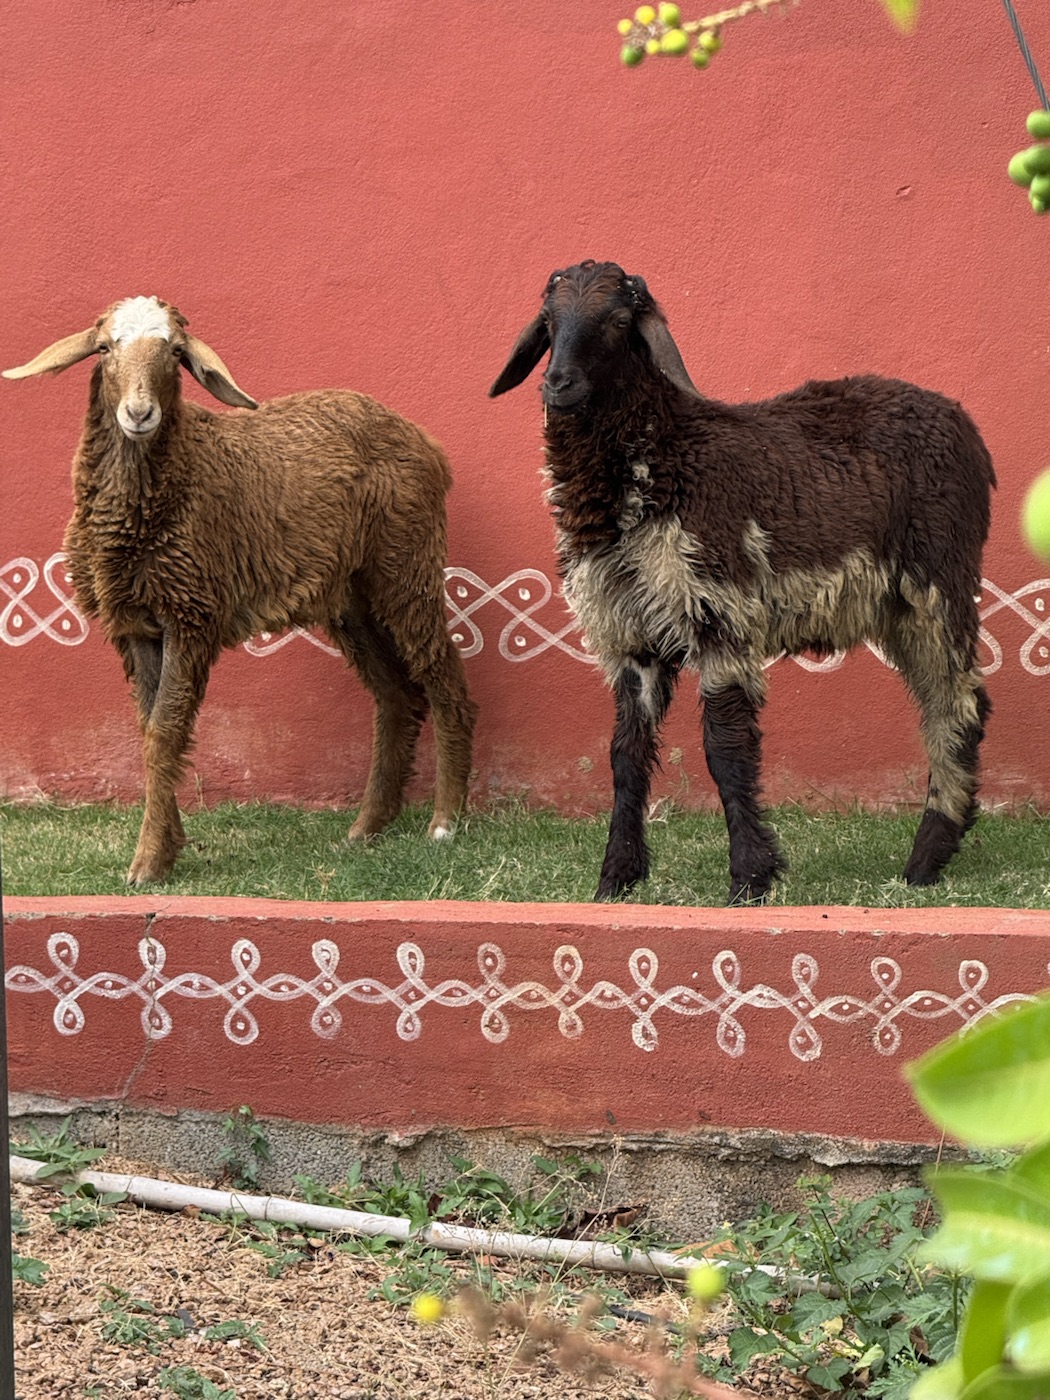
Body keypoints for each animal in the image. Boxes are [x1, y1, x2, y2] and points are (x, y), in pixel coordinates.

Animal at [4, 296, 477, 885]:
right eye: (105, 348)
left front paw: (148, 861)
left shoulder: (191, 613)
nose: (139, 414)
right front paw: (169, 843)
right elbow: (150, 731)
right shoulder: (135, 624)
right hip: (351, 596)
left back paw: (445, 820)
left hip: (406, 563)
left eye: (175, 353)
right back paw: (368, 826)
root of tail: (428, 444)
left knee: (444, 679)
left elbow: (165, 732)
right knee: (396, 696)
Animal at [489, 260, 994, 904]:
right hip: (902, 605)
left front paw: (750, 877)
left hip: (938, 581)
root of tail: (963, 423)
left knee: (957, 705)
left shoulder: (716, 610)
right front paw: (616, 878)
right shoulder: (630, 634)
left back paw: (926, 859)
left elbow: (725, 750)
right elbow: (625, 755)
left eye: (620, 321)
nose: (558, 383)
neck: (660, 456)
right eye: (549, 321)